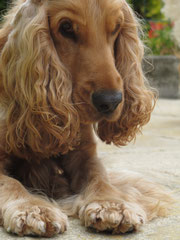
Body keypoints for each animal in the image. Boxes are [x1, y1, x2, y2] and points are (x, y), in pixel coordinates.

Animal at [0, 0, 172, 237]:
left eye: (116, 27)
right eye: (66, 28)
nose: (110, 101)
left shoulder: (84, 154)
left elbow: (99, 176)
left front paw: (112, 205)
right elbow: (10, 183)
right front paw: (33, 209)